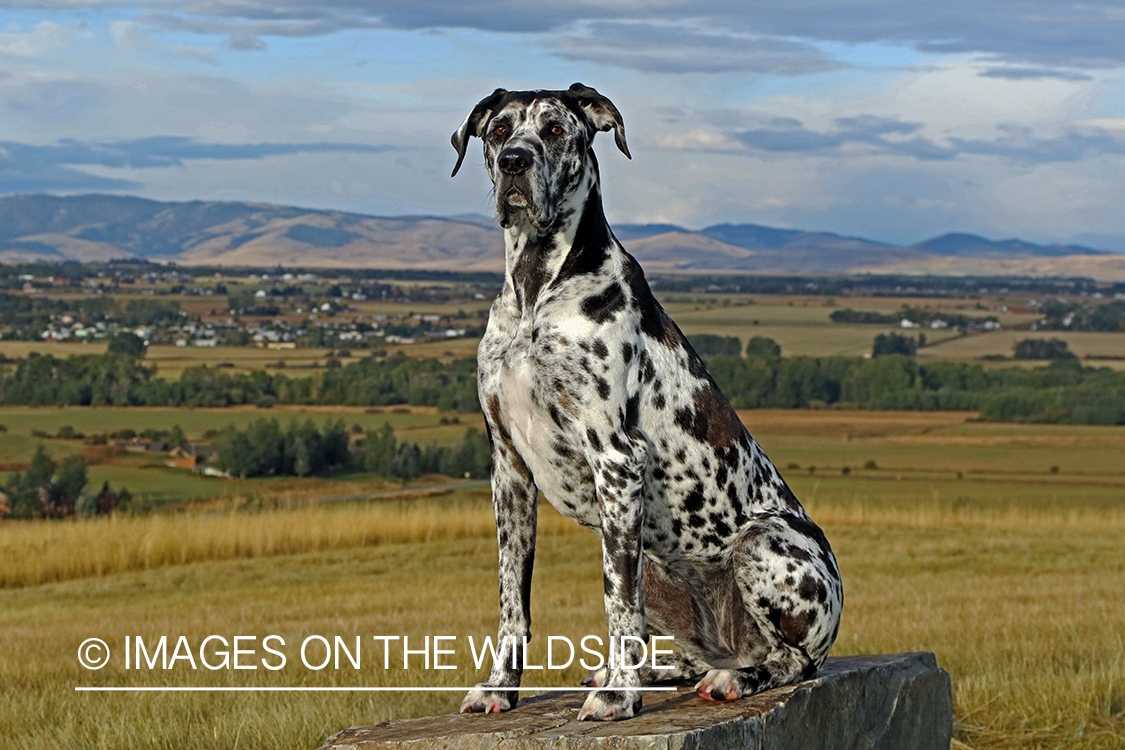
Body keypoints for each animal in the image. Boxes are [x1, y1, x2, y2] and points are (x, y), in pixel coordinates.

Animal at [452, 84, 841, 724]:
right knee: (686, 647)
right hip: (655, 565)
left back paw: (733, 679)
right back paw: (663, 671)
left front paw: (618, 695)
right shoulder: (508, 467)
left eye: (555, 129)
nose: (514, 162)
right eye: (499, 129)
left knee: (790, 662)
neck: (537, 291)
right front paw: (500, 688)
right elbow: (513, 600)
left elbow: (615, 605)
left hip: (757, 545)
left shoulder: (616, 458)